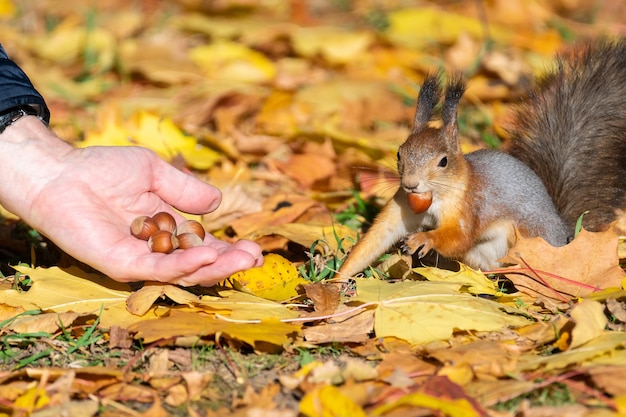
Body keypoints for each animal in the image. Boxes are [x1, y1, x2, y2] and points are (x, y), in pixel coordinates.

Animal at [336, 37, 624, 274]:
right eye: (399, 153)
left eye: (444, 161)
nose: (411, 184)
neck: (435, 197)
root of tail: (565, 236)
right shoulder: (403, 206)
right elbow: (377, 237)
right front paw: (337, 280)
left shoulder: (471, 207)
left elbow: (459, 237)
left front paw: (424, 239)